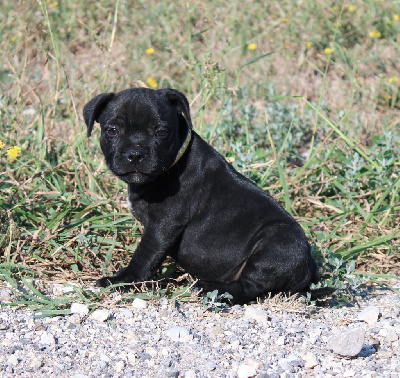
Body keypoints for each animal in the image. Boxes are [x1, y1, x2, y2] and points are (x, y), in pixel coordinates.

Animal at [83, 88, 318, 304]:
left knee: (249, 286)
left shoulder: (163, 225)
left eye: (161, 132)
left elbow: (144, 256)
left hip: (277, 244)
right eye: (113, 130)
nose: (135, 153)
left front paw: (123, 280)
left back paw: (210, 288)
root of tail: (308, 270)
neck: (175, 162)